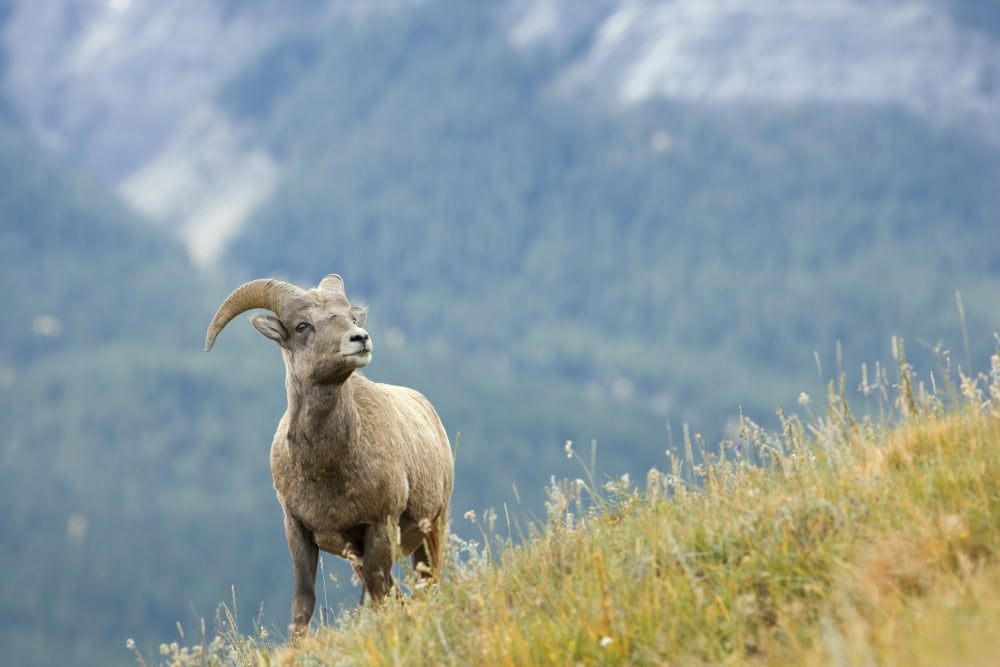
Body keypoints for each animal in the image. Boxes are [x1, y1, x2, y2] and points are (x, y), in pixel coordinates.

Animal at [204, 274, 453, 639]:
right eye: (301, 326)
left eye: (350, 316)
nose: (359, 338)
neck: (326, 471)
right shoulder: (300, 532)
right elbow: (303, 603)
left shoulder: (379, 527)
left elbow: (380, 594)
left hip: (432, 527)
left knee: (425, 582)